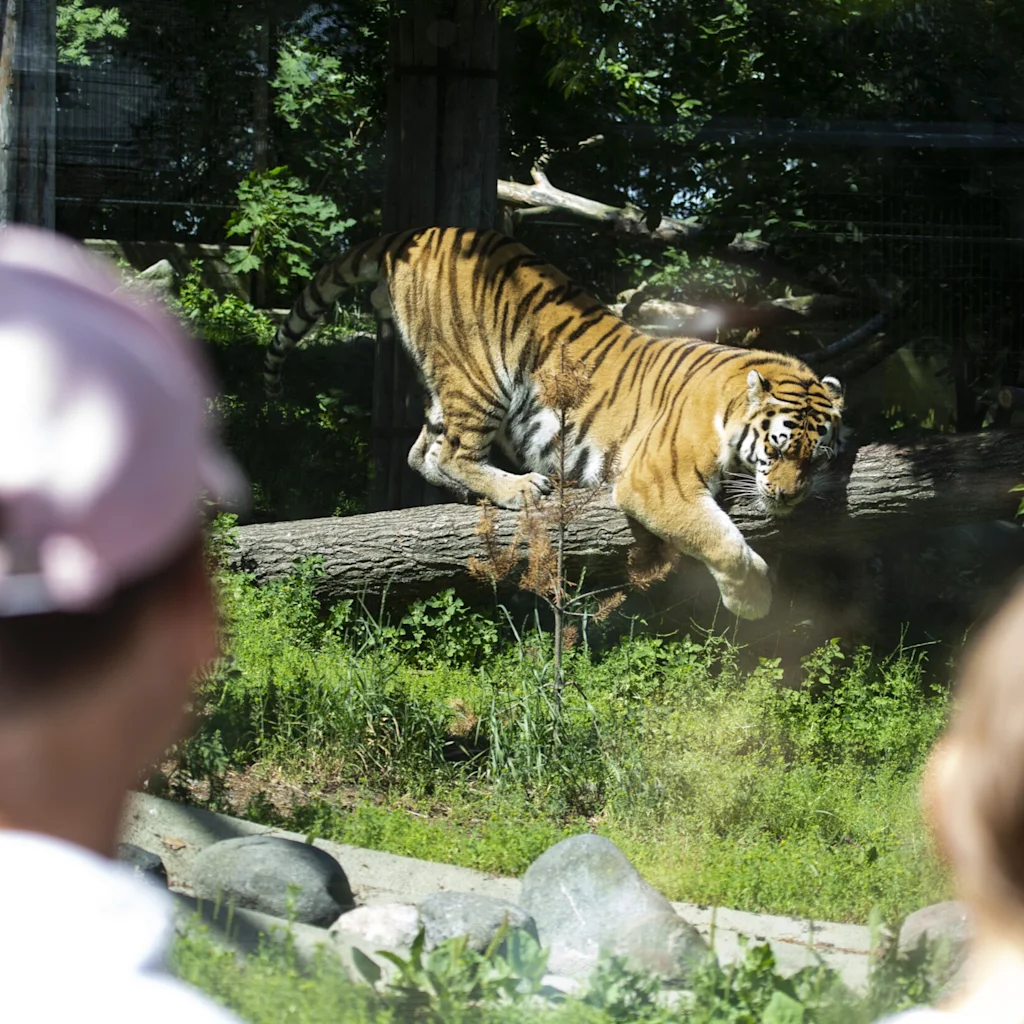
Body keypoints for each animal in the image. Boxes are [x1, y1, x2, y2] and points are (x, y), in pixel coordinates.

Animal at [264, 227, 844, 620]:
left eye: (814, 458)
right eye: (778, 448)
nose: (789, 497)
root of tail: (422, 231)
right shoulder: (657, 482)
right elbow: (718, 538)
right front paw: (754, 600)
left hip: (444, 383)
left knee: (422, 451)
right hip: (481, 376)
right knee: (453, 451)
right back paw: (519, 487)